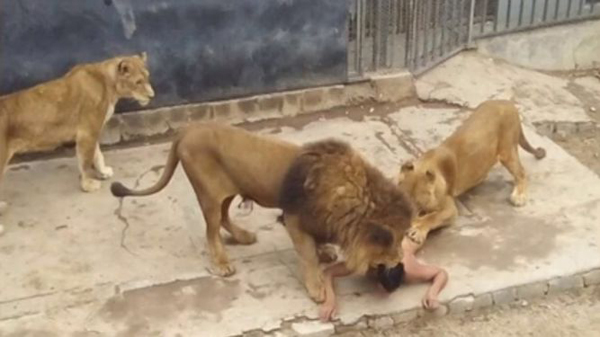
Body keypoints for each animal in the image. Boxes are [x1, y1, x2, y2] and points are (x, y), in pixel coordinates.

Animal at [0, 52, 155, 232]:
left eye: (147, 78)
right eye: (138, 82)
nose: (152, 96)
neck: (109, 83)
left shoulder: (93, 129)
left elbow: (97, 154)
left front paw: (103, 172)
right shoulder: (87, 132)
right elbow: (86, 161)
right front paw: (88, 185)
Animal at [280, 139, 412, 302]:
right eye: (397, 241)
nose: (401, 258)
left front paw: (324, 252)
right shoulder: (295, 217)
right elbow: (308, 255)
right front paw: (316, 287)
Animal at [398, 98, 544, 245]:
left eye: (418, 203)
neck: (424, 164)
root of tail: (508, 103)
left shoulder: (450, 208)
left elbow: (432, 217)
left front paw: (417, 229)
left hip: (507, 151)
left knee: (521, 172)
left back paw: (519, 196)